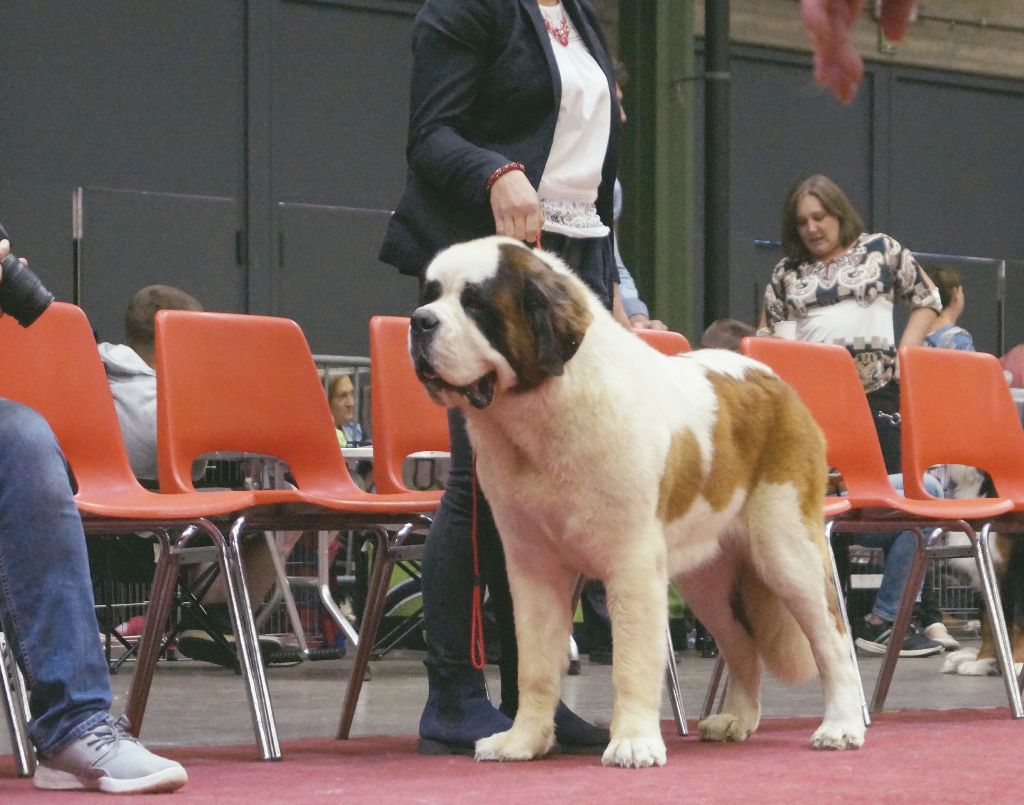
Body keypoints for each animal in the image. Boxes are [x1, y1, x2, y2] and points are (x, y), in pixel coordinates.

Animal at [407, 233, 864, 766]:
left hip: (785, 547)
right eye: (430, 293)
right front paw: (523, 741)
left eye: (475, 303)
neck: (543, 410)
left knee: (832, 638)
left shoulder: (631, 564)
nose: (419, 321)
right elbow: (534, 664)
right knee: (741, 643)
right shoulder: (532, 565)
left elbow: (631, 660)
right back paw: (736, 719)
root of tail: (773, 379)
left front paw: (633, 742)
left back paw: (842, 726)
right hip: (707, 577)